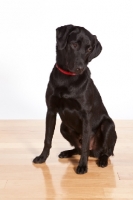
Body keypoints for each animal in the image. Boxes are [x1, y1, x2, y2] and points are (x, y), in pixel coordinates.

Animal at [32, 25, 117, 174]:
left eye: (89, 49)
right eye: (74, 44)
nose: (80, 68)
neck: (67, 79)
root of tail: (95, 151)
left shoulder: (86, 115)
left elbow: (84, 147)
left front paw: (82, 166)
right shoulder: (51, 111)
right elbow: (47, 139)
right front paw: (42, 157)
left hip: (108, 125)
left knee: (103, 151)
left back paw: (102, 161)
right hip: (63, 127)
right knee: (78, 148)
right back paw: (67, 152)